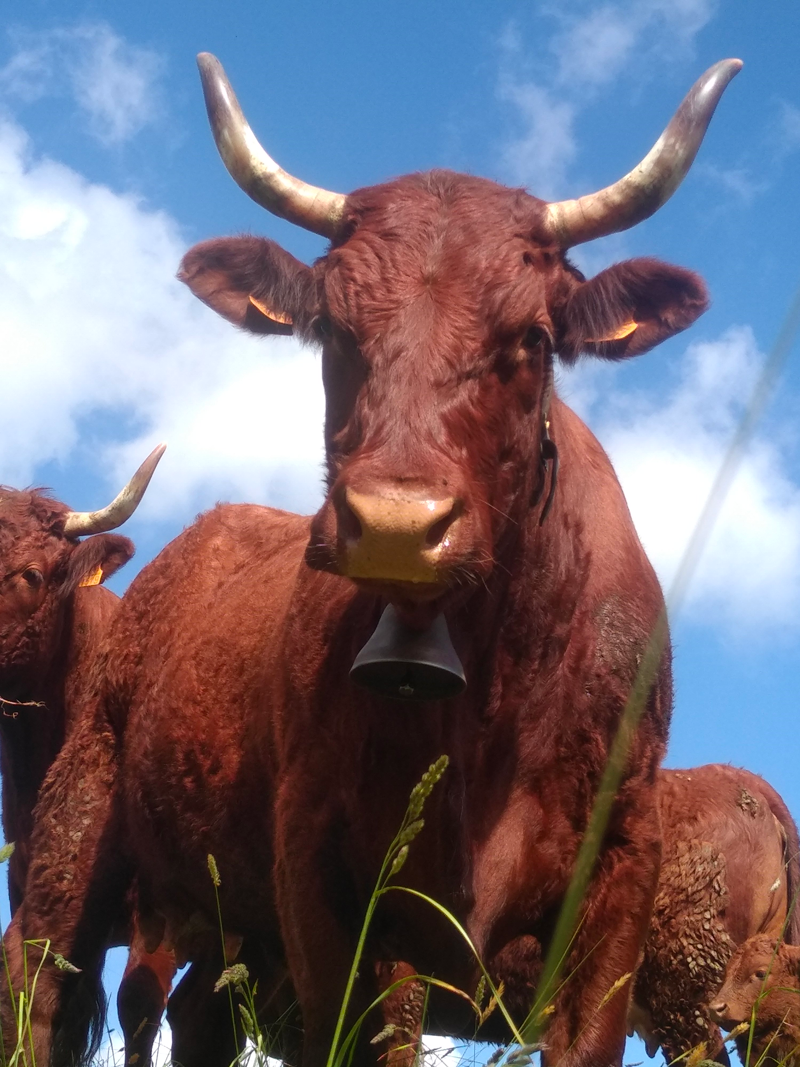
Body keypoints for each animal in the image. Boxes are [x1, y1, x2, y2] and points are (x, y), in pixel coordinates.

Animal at [6, 58, 742, 1067]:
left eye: (533, 337)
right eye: (333, 329)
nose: (397, 521)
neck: (495, 694)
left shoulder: (621, 875)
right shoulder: (322, 870)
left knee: (186, 1015)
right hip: (77, 829)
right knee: (43, 988)